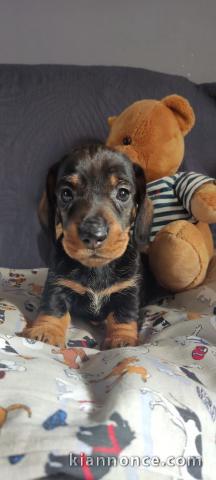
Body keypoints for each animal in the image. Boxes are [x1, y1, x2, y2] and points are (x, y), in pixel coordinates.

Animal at [20, 143, 152, 348]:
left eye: (123, 193)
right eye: (66, 193)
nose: (93, 234)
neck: (96, 269)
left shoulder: (129, 289)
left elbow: (124, 315)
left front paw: (122, 340)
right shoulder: (58, 282)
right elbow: (53, 307)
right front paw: (46, 330)